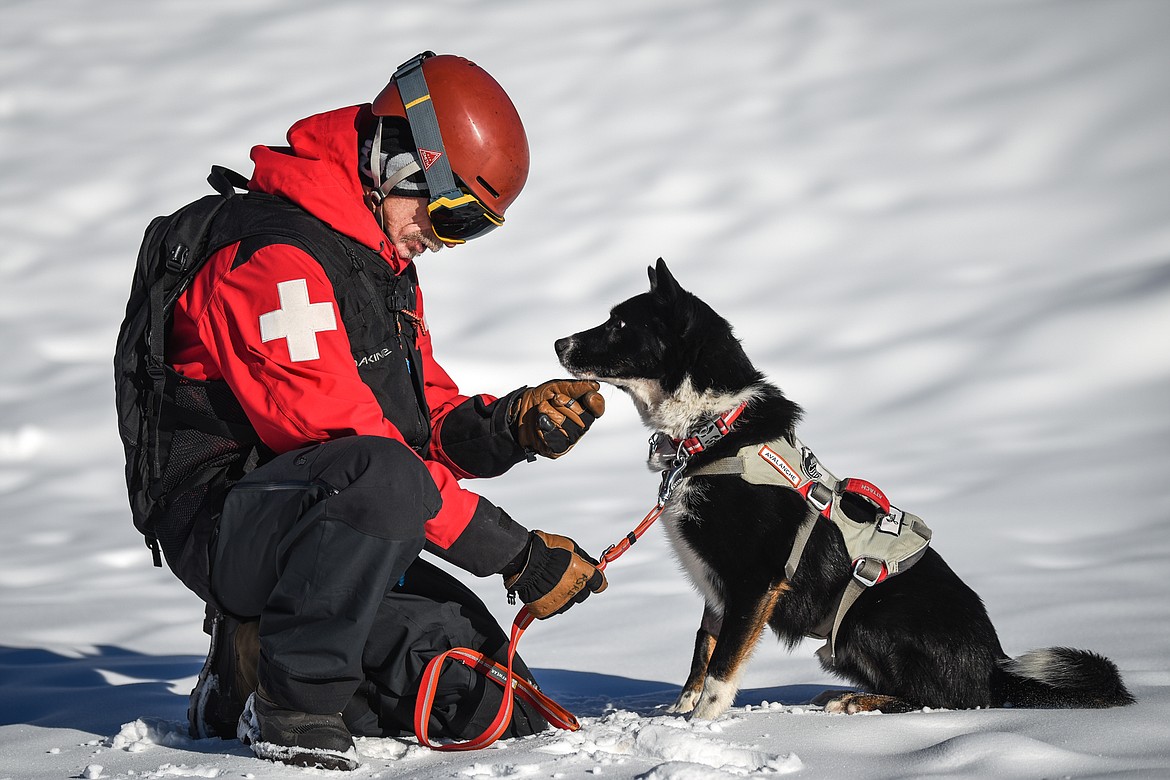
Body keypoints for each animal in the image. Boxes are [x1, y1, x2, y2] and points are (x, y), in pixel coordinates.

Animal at [556, 260, 1132, 720]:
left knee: (948, 700)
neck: (713, 428)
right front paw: (680, 712)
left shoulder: (755, 580)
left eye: (620, 323)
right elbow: (703, 649)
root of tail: (994, 665)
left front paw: (703, 724)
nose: (559, 342)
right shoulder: (719, 588)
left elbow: (723, 664)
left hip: (867, 620)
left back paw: (859, 701)